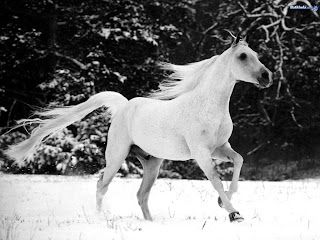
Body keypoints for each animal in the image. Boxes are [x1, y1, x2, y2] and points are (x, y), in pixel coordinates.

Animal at [5, 32, 272, 222]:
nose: (266, 76)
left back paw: (150, 224)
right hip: (116, 157)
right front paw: (234, 214)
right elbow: (215, 179)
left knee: (141, 195)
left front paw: (221, 202)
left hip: (152, 163)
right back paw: (100, 218)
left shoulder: (220, 147)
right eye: (243, 56)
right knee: (102, 185)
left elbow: (238, 161)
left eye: (256, 54)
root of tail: (123, 106)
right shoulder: (201, 153)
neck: (207, 106)